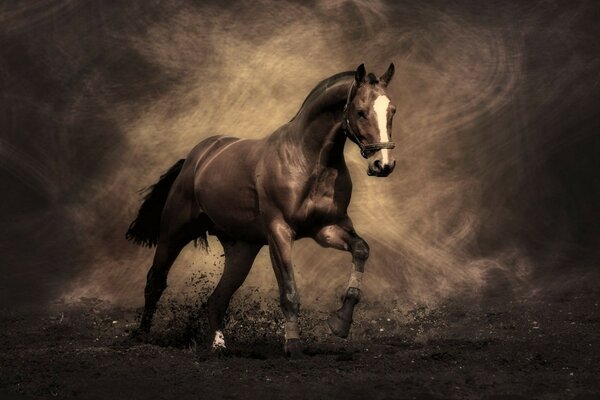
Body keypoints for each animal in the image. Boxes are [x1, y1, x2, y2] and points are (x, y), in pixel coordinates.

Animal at [125, 64, 398, 358]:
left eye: (392, 111)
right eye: (360, 111)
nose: (383, 164)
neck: (307, 161)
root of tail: (196, 158)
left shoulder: (326, 229)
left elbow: (361, 250)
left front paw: (340, 324)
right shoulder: (279, 233)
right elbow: (289, 291)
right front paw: (294, 346)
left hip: (242, 250)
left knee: (218, 298)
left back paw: (219, 346)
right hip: (174, 233)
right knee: (156, 281)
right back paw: (142, 336)